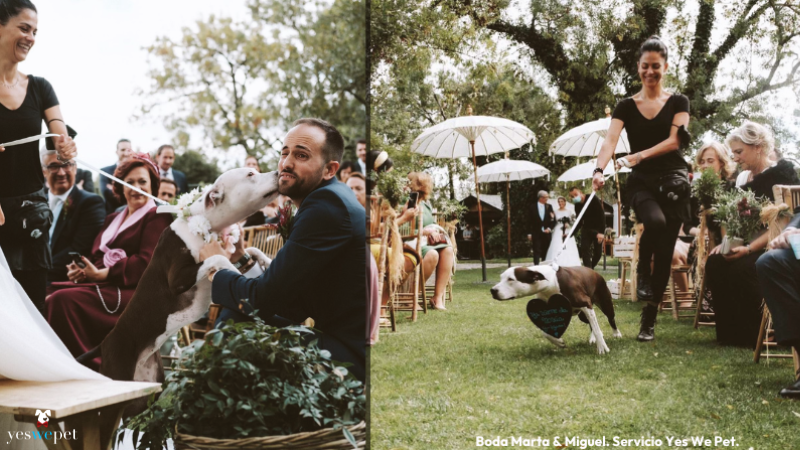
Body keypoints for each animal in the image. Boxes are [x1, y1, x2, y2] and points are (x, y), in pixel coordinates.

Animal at [84, 167, 278, 384]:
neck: (202, 225)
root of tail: (103, 343)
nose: (279, 172)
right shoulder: (177, 279)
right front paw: (237, 273)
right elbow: (217, 258)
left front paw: (267, 262)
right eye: (250, 174)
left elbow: (252, 249)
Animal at [488, 264, 624, 356]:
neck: (550, 283)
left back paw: (616, 334)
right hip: (582, 315)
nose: (493, 290)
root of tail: (594, 272)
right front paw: (559, 342)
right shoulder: (550, 311)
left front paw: (602, 347)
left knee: (610, 319)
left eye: (511, 279)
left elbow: (597, 328)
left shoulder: (585, 304)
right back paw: (592, 338)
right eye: (501, 277)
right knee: (591, 323)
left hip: (605, 303)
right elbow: (545, 332)